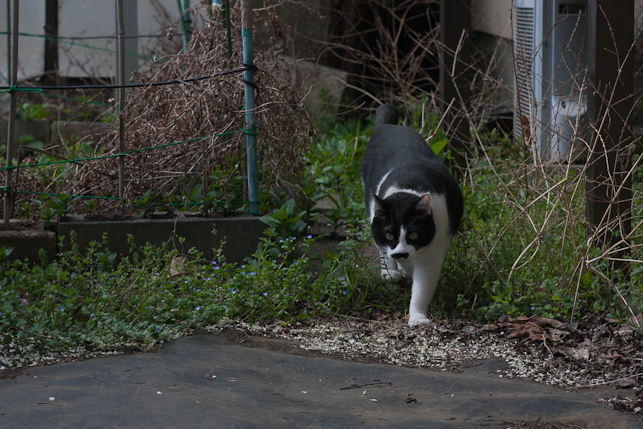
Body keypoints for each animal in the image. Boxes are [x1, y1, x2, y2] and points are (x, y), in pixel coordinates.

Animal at [362, 103, 462, 324]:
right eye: (389, 234)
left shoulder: (431, 252)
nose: (400, 252)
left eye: (414, 234)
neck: (407, 185)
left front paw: (417, 317)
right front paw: (394, 270)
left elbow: (422, 288)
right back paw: (391, 272)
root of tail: (387, 126)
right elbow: (386, 250)